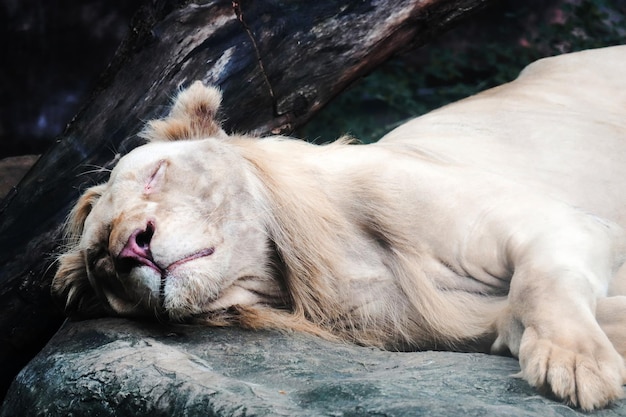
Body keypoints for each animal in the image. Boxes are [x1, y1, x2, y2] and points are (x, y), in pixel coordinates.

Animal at [52, 45, 624, 410]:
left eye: (155, 175)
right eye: (103, 261)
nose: (131, 248)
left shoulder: (560, 222)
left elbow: (541, 282)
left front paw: (576, 365)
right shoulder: (457, 324)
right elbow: (521, 312)